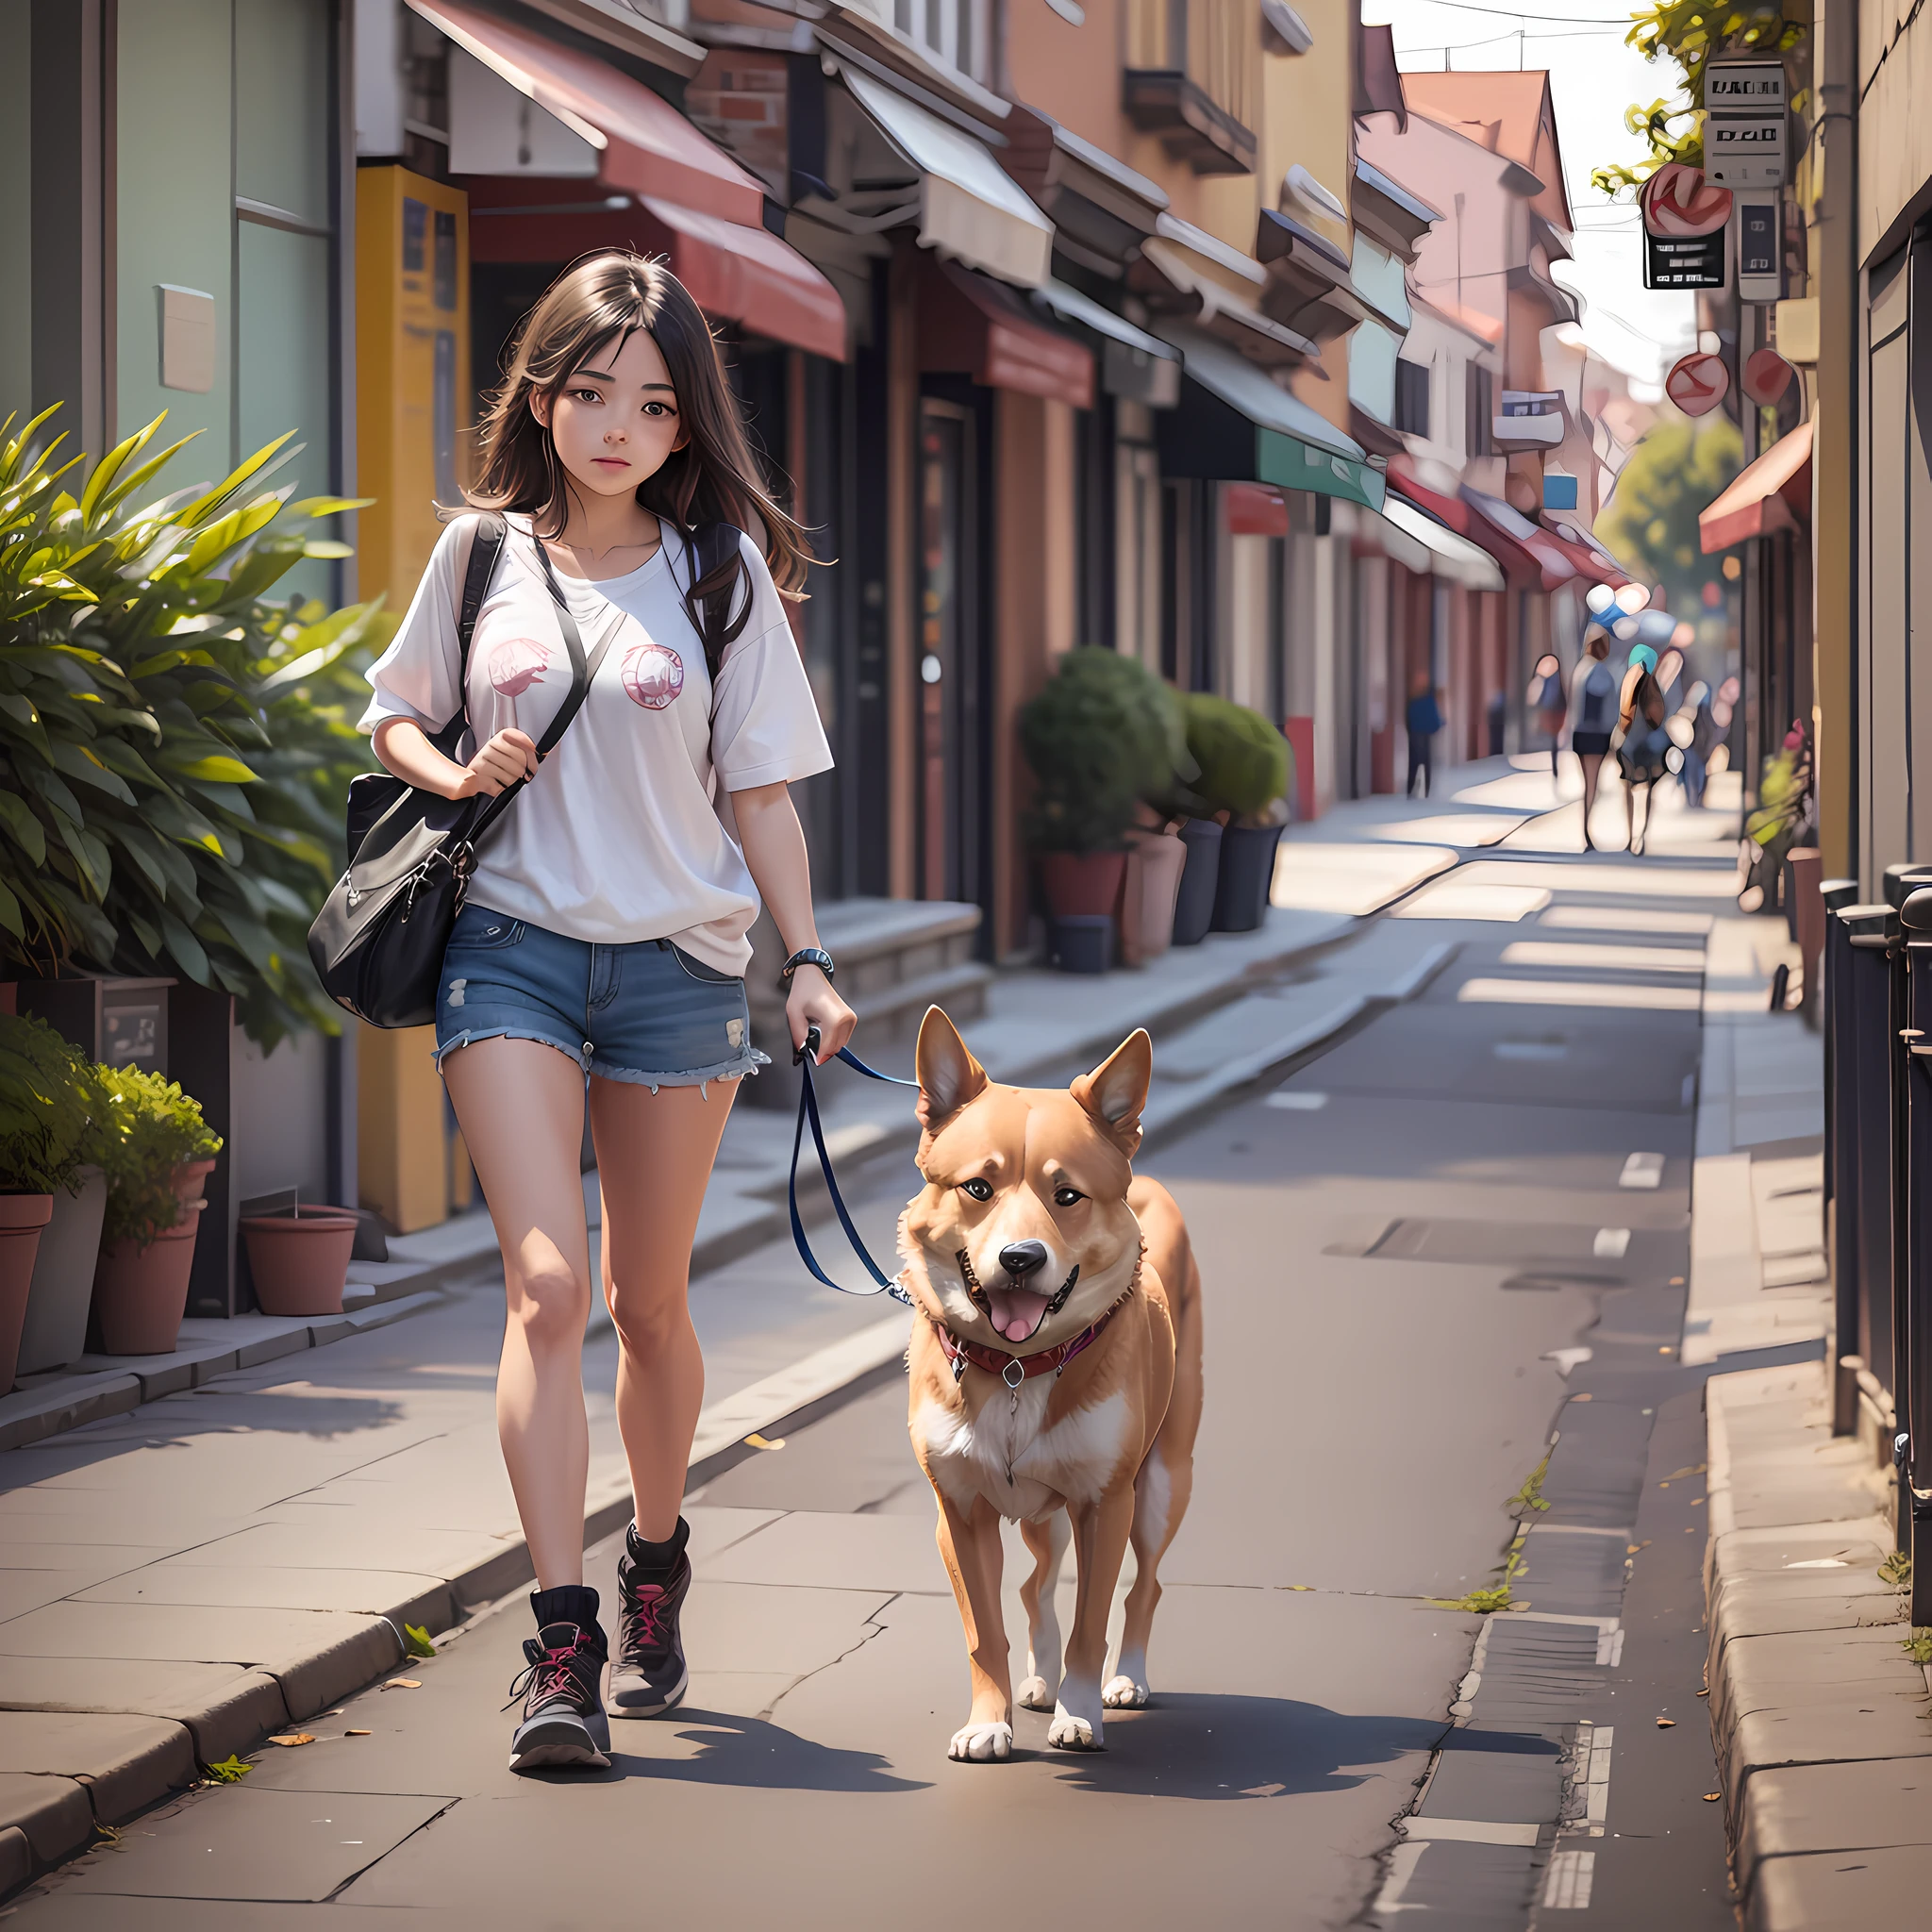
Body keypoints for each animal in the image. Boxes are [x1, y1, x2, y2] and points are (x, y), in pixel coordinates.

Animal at [896, 1004, 1197, 1761]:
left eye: (1068, 1197)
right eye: (977, 1187)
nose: (1020, 1259)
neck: (1017, 1368)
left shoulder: (1104, 1504)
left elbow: (1094, 1617)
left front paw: (1080, 1714)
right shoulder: (959, 1512)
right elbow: (985, 1630)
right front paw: (989, 1721)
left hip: (1163, 1481)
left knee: (1145, 1586)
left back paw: (1128, 1679)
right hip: (1039, 1513)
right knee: (1035, 1582)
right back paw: (1038, 1679)